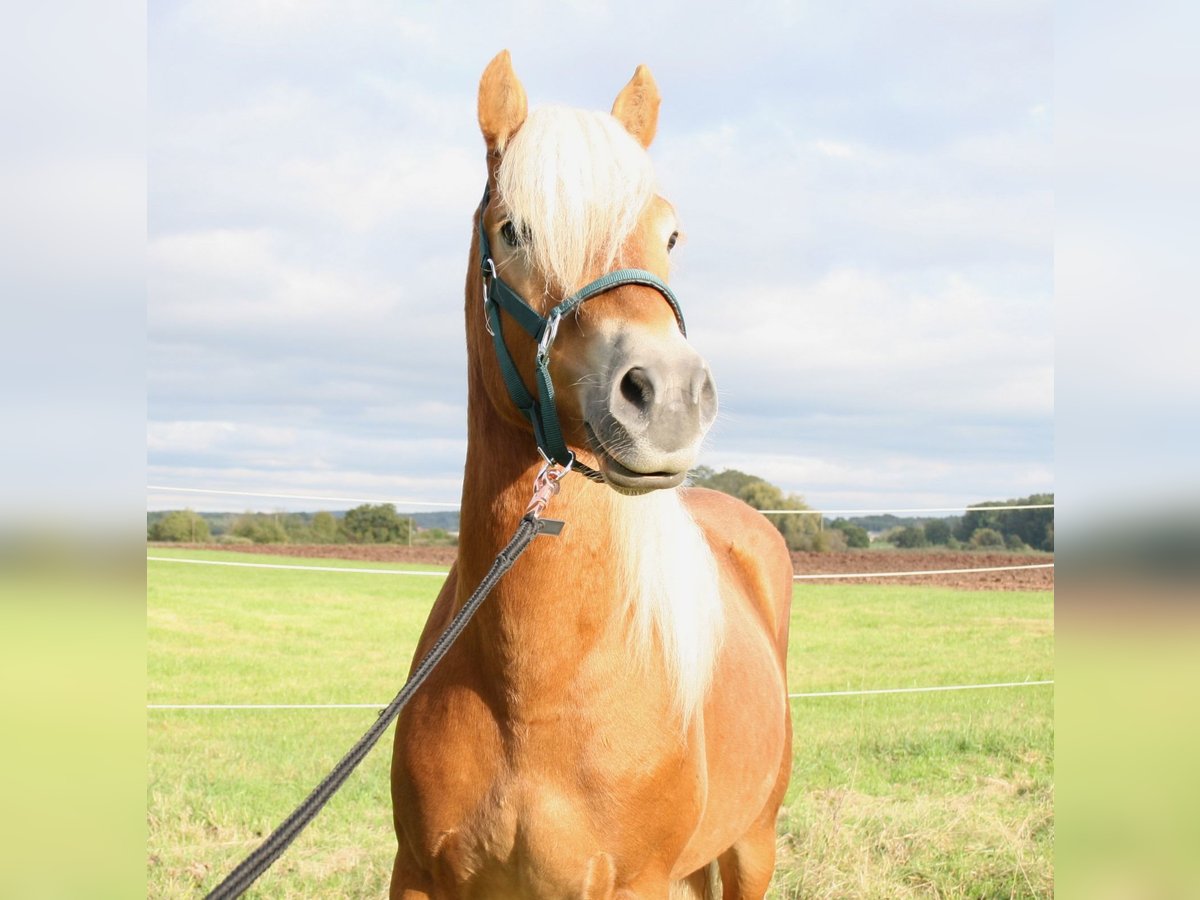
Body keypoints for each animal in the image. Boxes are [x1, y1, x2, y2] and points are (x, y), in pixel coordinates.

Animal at [388, 51, 792, 900]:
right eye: (513, 230)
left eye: (671, 232)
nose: (668, 398)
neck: (533, 695)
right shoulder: (418, 875)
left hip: (752, 846)